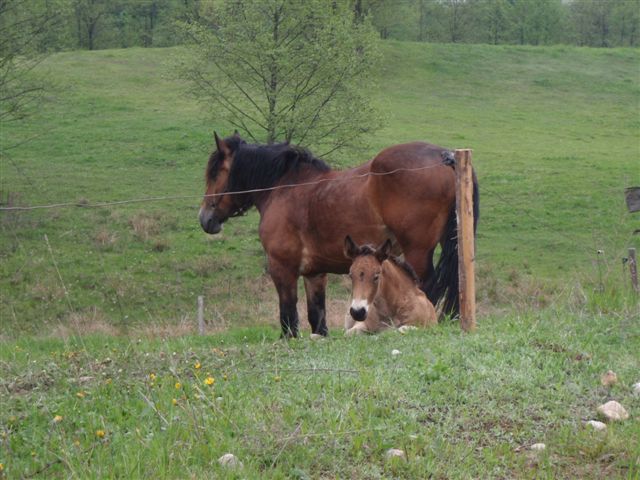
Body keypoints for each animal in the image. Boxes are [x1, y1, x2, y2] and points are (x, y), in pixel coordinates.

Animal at [198, 132, 478, 338]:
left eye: (214, 172)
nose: (205, 218)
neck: (284, 188)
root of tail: (445, 155)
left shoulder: (282, 269)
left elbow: (288, 318)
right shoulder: (314, 273)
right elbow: (317, 318)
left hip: (417, 253)